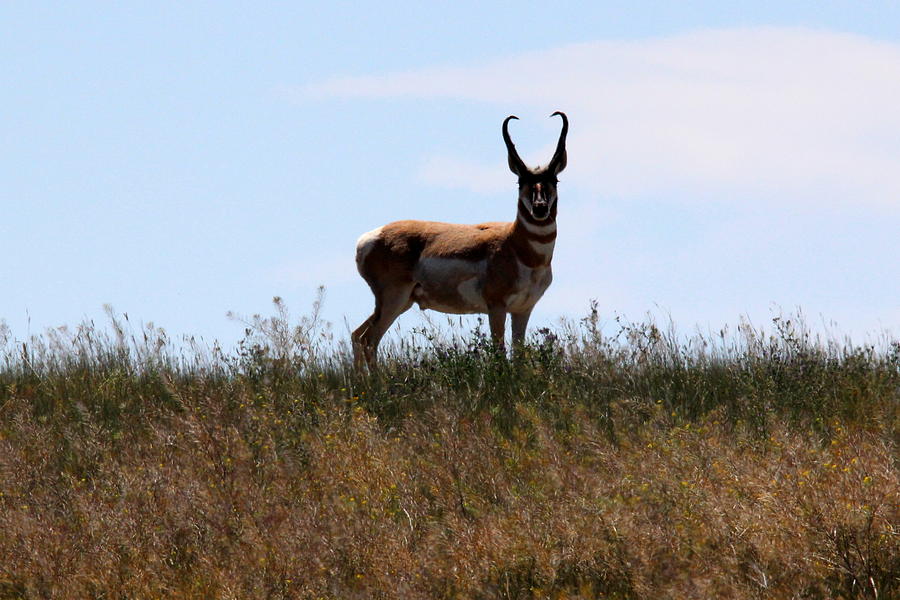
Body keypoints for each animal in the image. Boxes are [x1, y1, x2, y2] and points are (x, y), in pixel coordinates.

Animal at [354, 110, 568, 368]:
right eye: (520, 182)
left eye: (554, 180)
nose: (539, 208)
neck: (517, 246)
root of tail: (370, 237)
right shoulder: (496, 307)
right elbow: (500, 352)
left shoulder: (523, 309)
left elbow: (518, 355)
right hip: (394, 299)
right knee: (368, 340)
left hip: (400, 303)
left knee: (357, 335)